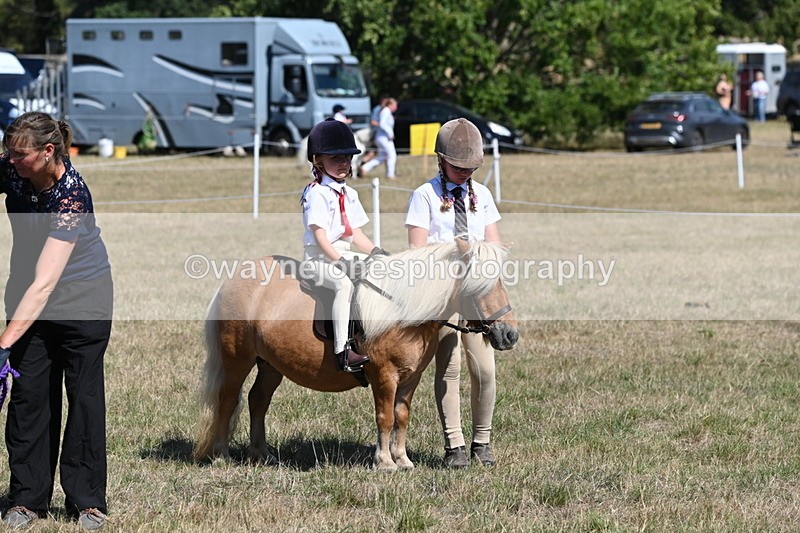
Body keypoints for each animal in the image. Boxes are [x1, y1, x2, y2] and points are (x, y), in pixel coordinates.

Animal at [193, 239, 519, 471]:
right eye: (480, 287)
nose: (510, 335)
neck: (402, 307)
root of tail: (231, 281)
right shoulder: (384, 375)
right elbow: (385, 417)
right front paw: (385, 462)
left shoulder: (410, 378)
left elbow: (402, 416)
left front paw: (403, 460)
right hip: (237, 359)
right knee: (228, 400)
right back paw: (221, 454)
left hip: (270, 364)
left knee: (258, 400)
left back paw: (261, 454)